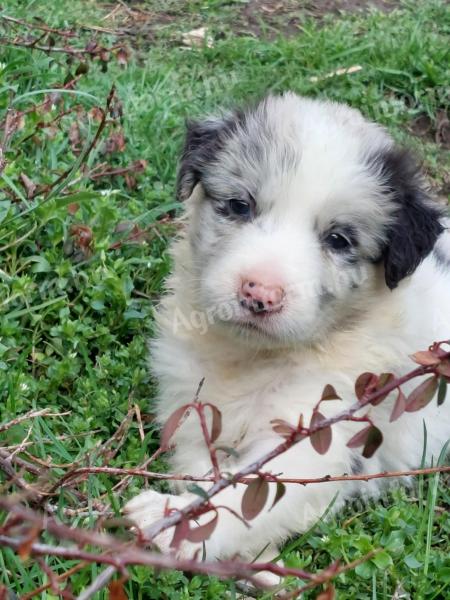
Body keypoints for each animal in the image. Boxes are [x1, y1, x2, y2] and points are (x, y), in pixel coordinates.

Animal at [124, 91, 450, 576]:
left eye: (338, 239)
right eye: (240, 206)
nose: (260, 293)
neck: (253, 359)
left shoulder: (320, 433)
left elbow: (249, 495)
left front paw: (171, 523)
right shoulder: (190, 405)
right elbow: (203, 464)